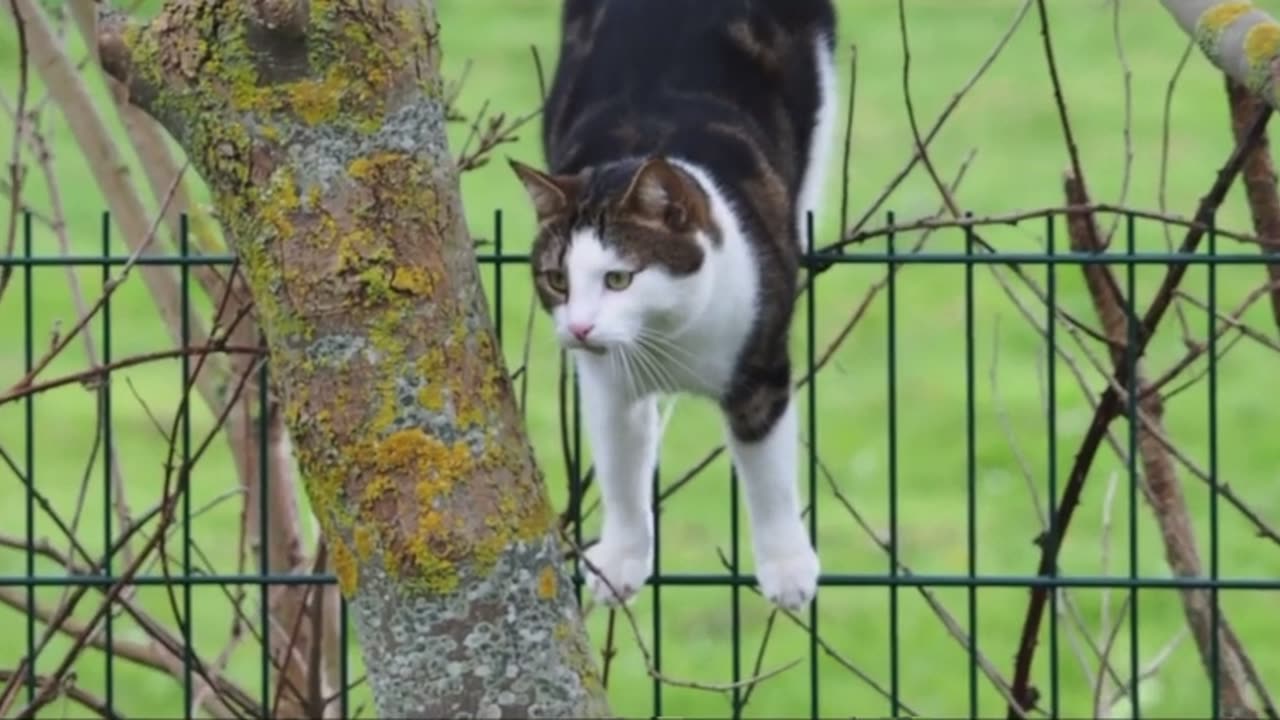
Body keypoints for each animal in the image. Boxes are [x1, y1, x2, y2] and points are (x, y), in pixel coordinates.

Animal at [509, 0, 839, 607]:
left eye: (618, 279)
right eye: (557, 280)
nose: (580, 329)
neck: (670, 338)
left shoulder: (760, 368)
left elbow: (769, 471)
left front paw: (787, 568)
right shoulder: (608, 386)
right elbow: (619, 469)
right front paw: (620, 559)